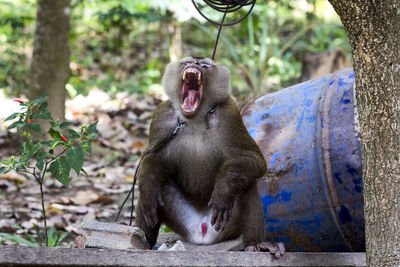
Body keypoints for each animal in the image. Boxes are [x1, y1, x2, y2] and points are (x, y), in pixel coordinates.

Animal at [134, 57, 284, 260]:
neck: (195, 119)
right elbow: (152, 159)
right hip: (183, 222)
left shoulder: (230, 114)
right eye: (187, 62)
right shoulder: (161, 117)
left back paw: (257, 245)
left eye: (205, 66)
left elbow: (254, 160)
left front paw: (224, 188)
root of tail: (202, 234)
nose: (195, 65)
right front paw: (149, 187)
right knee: (155, 188)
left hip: (227, 227)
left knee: (247, 182)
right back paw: (144, 243)